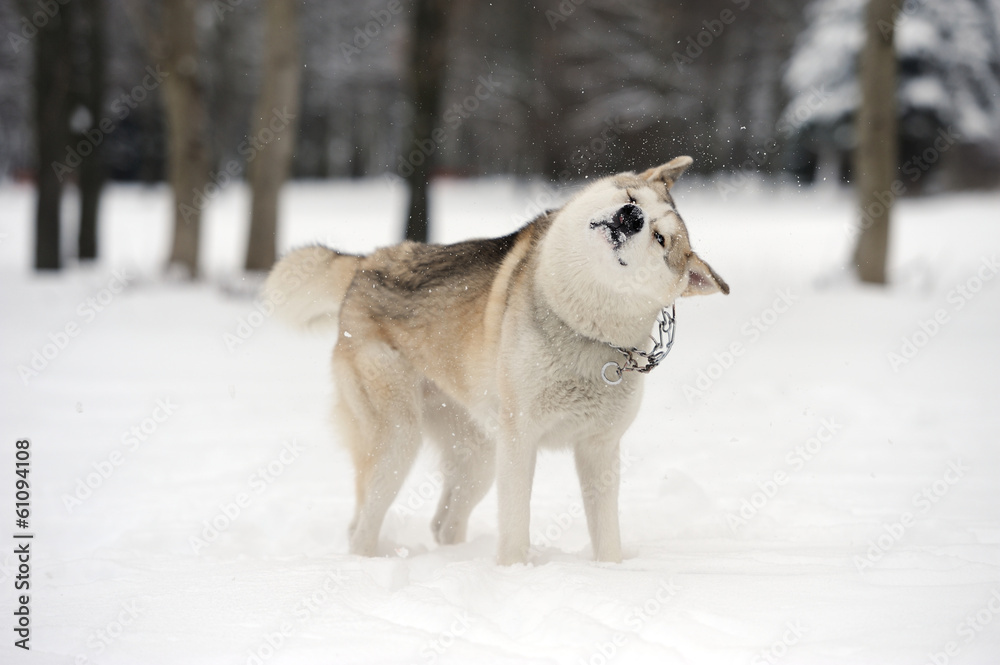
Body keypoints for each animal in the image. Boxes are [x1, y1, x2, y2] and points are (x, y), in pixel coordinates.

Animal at [268, 157, 728, 564]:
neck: (578, 323)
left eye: (660, 239)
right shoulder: (520, 441)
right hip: (401, 439)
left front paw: (609, 573)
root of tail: (369, 261)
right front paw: (513, 575)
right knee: (362, 526)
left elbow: (607, 538)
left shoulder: (598, 449)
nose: (631, 217)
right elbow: (515, 528)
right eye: (632, 197)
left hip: (478, 457)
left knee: (442, 524)